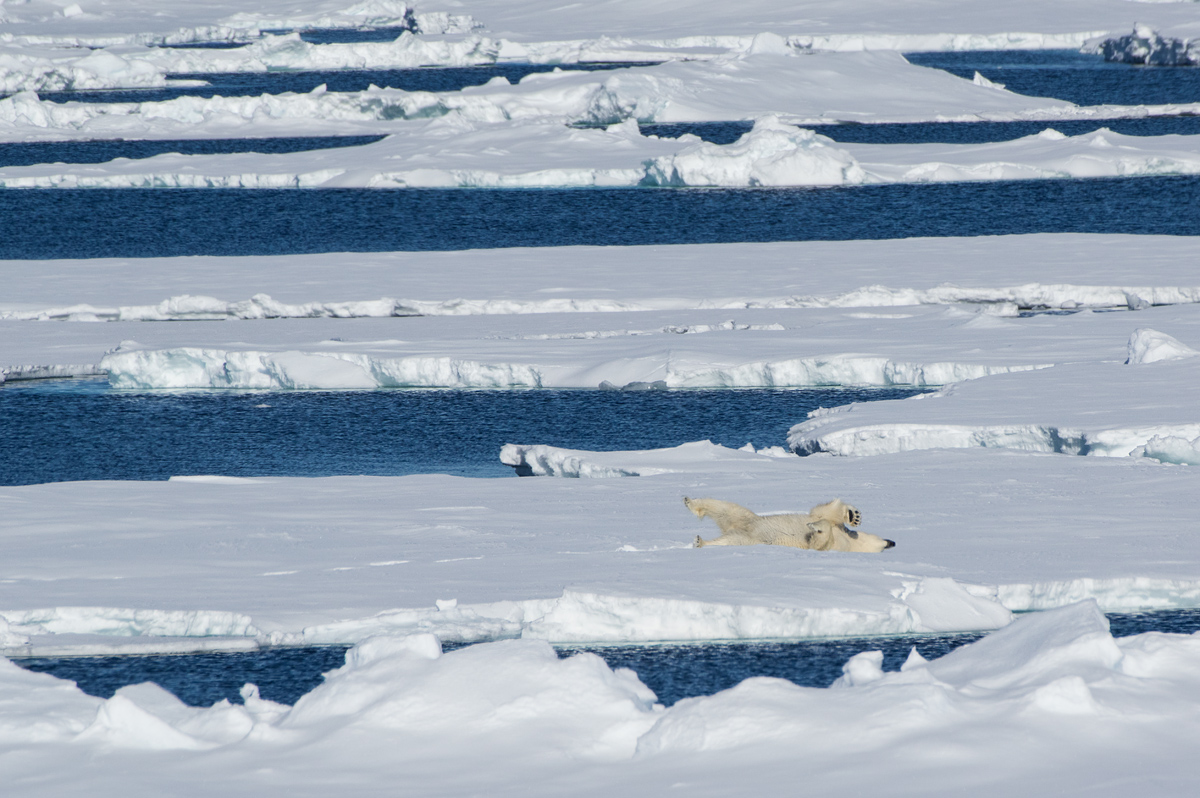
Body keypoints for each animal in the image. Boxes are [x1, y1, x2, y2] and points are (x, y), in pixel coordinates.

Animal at [686, 494, 892, 552]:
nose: (892, 542)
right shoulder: (840, 531)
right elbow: (824, 512)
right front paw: (853, 515)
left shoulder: (833, 546)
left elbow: (817, 541)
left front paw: (814, 528)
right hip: (748, 518)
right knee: (725, 507)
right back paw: (689, 501)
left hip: (747, 536)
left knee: (731, 538)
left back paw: (700, 542)